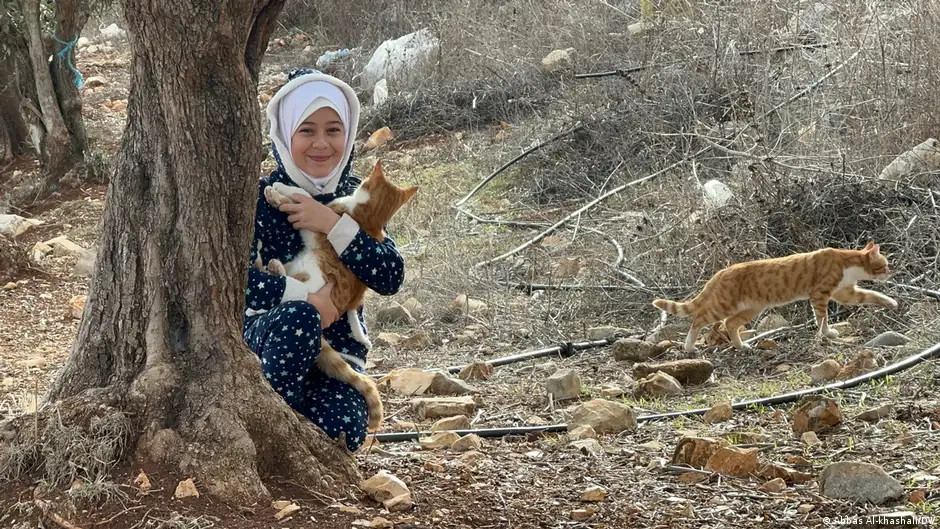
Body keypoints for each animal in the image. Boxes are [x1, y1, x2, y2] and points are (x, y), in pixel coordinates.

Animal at [652, 242, 896, 352]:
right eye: (884, 264)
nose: (890, 272)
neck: (848, 264)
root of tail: (721, 271)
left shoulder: (845, 293)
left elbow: (871, 294)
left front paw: (890, 302)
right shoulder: (820, 294)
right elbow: (822, 317)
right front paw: (825, 333)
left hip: (751, 308)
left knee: (730, 324)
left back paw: (741, 346)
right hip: (724, 304)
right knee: (699, 318)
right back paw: (689, 346)